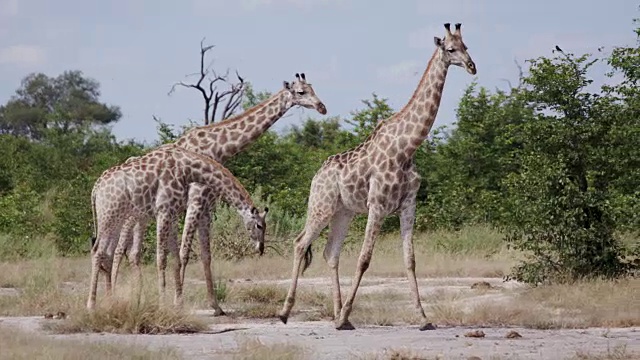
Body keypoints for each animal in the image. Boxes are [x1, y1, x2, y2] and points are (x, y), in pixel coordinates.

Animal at [86, 143, 266, 310]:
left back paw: (110, 301)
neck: (187, 169)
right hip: (108, 216)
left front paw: (179, 303)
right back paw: (91, 305)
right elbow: (161, 258)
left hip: (116, 219)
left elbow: (176, 258)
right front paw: (162, 304)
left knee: (107, 253)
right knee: (98, 251)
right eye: (259, 226)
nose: (261, 248)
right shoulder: (163, 211)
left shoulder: (172, 215)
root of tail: (95, 188)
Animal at [110, 73, 328, 316]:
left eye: (313, 88)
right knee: (119, 250)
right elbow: (184, 252)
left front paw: (215, 306)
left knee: (133, 253)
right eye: (301, 92)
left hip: (144, 215)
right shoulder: (195, 201)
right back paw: (113, 295)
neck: (217, 148)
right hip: (132, 214)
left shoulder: (207, 206)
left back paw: (135, 297)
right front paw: (179, 302)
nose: (322, 107)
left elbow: (206, 255)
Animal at [278, 23, 478, 332]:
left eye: (466, 45)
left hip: (343, 212)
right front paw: (346, 313)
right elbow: (364, 259)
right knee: (300, 243)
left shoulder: (408, 205)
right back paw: (287, 312)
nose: (472, 66)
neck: (407, 147)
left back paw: (338, 317)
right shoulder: (378, 205)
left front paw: (424, 318)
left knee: (330, 252)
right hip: (321, 206)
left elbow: (410, 260)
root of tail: (317, 174)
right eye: (450, 48)